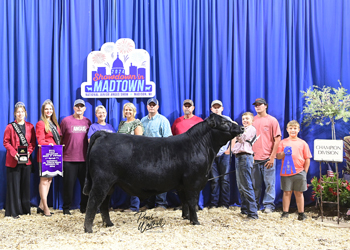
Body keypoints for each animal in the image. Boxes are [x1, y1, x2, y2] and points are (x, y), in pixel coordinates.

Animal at [83, 113, 245, 232]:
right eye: (224, 122)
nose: (242, 128)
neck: (200, 146)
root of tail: (105, 135)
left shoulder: (183, 185)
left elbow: (185, 203)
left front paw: (187, 218)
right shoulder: (193, 183)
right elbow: (192, 202)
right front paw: (196, 222)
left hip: (110, 184)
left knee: (104, 204)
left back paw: (109, 224)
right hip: (102, 181)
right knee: (93, 201)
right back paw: (88, 229)